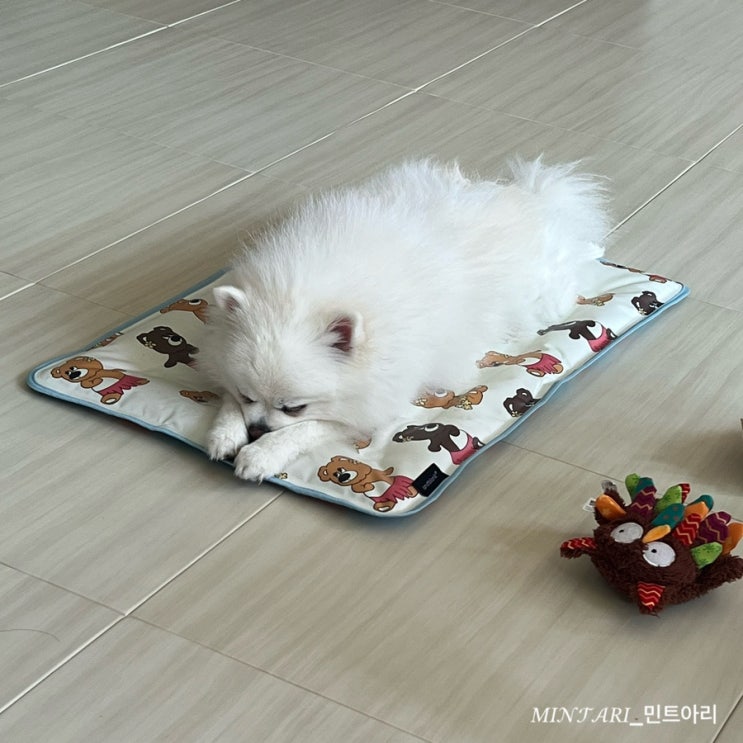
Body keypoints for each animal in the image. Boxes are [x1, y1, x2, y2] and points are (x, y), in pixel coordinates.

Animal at [201, 158, 610, 480]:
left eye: (294, 407)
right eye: (248, 396)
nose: (257, 429)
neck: (304, 292)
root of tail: (535, 199)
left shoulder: (372, 401)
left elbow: (315, 426)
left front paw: (262, 454)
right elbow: (227, 399)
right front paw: (226, 433)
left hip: (545, 296)